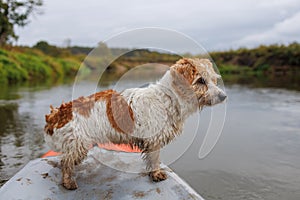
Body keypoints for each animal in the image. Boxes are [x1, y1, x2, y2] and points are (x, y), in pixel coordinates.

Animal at [44, 57, 227, 189]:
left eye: (213, 80)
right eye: (201, 80)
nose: (223, 96)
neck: (168, 98)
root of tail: (57, 114)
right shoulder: (154, 140)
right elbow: (154, 159)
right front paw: (156, 174)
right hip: (78, 145)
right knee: (66, 162)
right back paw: (68, 182)